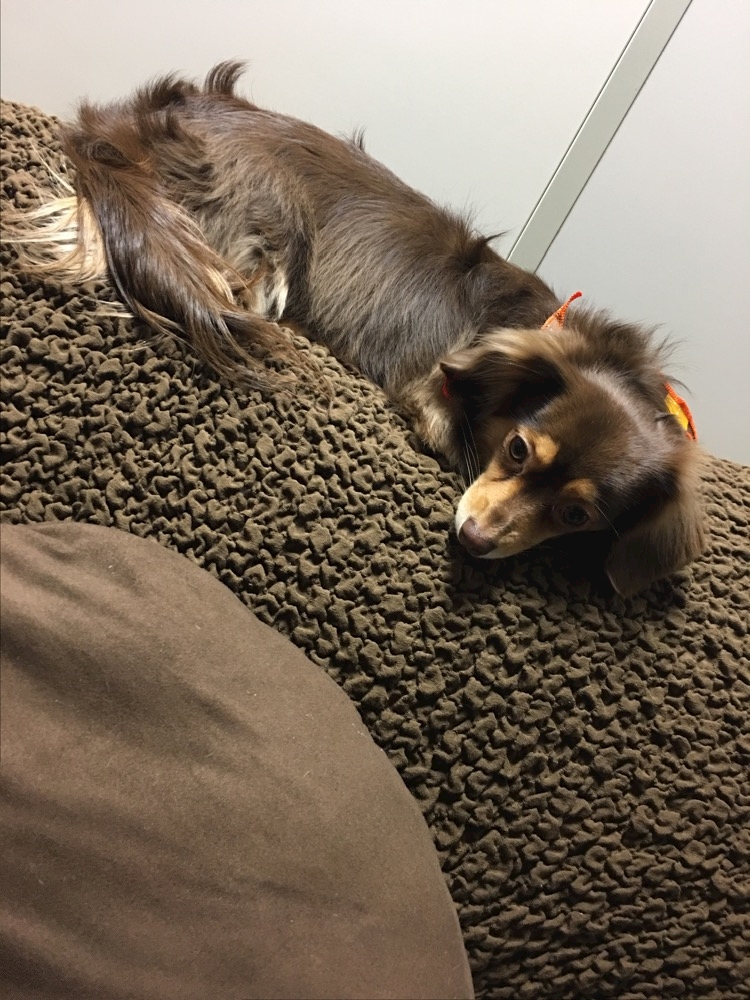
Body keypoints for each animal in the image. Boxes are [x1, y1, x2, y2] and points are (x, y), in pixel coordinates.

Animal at [10, 62, 705, 596]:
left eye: (576, 513)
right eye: (516, 450)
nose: (473, 540)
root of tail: (129, 120)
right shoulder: (433, 399)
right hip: (271, 223)